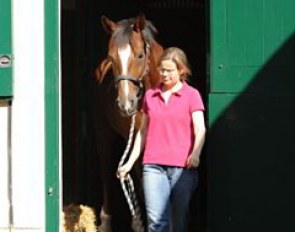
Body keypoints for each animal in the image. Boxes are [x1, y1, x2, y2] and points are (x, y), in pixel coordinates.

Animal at [95, 13, 164, 231]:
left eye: (140, 55)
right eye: (111, 57)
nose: (126, 104)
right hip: (103, 130)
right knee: (106, 170)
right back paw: (108, 220)